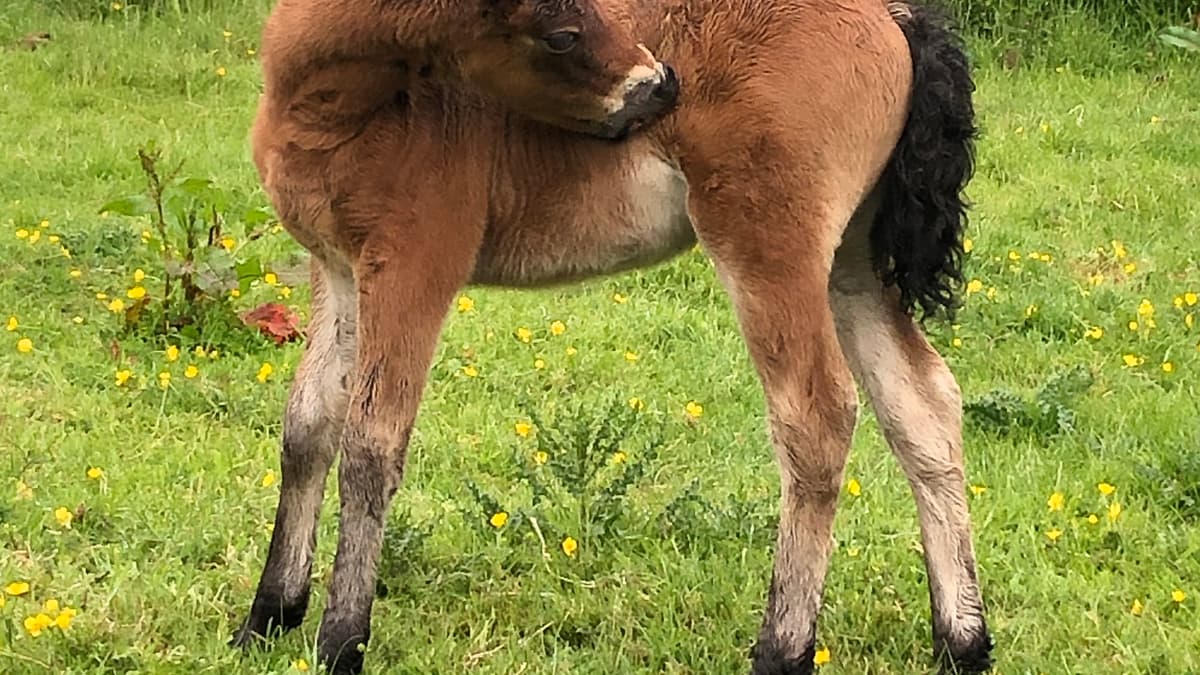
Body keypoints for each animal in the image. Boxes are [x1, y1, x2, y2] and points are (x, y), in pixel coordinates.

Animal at [233, 1, 992, 673]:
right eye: (565, 33)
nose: (658, 86)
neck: (332, 103)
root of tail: (894, 16)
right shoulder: (337, 271)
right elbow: (307, 426)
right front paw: (267, 616)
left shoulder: (413, 266)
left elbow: (371, 445)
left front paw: (340, 641)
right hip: (850, 262)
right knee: (922, 403)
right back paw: (964, 641)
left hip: (769, 241)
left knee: (817, 416)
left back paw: (783, 650)